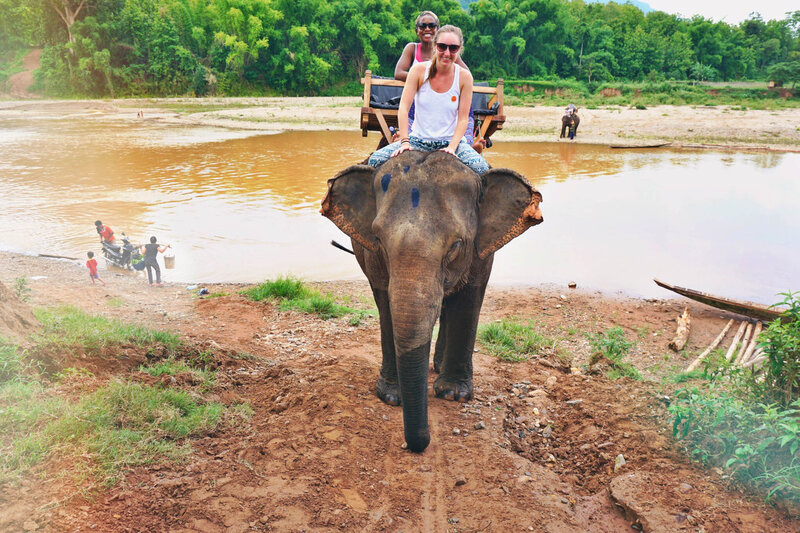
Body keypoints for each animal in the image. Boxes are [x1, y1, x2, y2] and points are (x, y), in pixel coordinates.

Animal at [320, 151, 544, 454]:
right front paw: (391, 396)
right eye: (379, 240)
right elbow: (385, 305)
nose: (418, 444)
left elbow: (469, 297)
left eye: (456, 245)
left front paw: (453, 394)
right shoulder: (372, 257)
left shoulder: (481, 251)